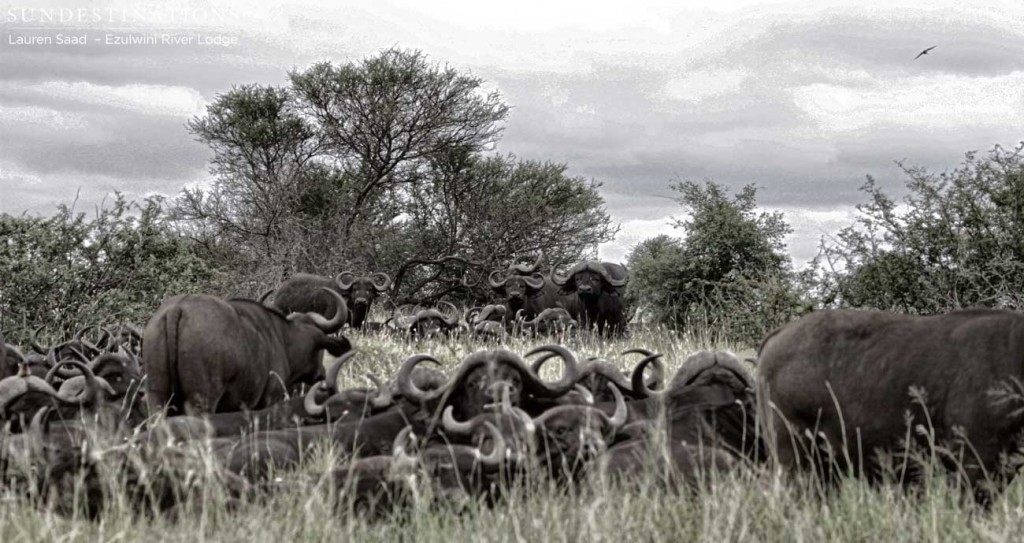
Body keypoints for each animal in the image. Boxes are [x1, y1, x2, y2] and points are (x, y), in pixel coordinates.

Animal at [142, 288, 352, 411]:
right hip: (201, 401)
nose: (321, 374)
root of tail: (177, 309)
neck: (284, 338)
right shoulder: (272, 397)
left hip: (157, 398)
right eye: (321, 349)